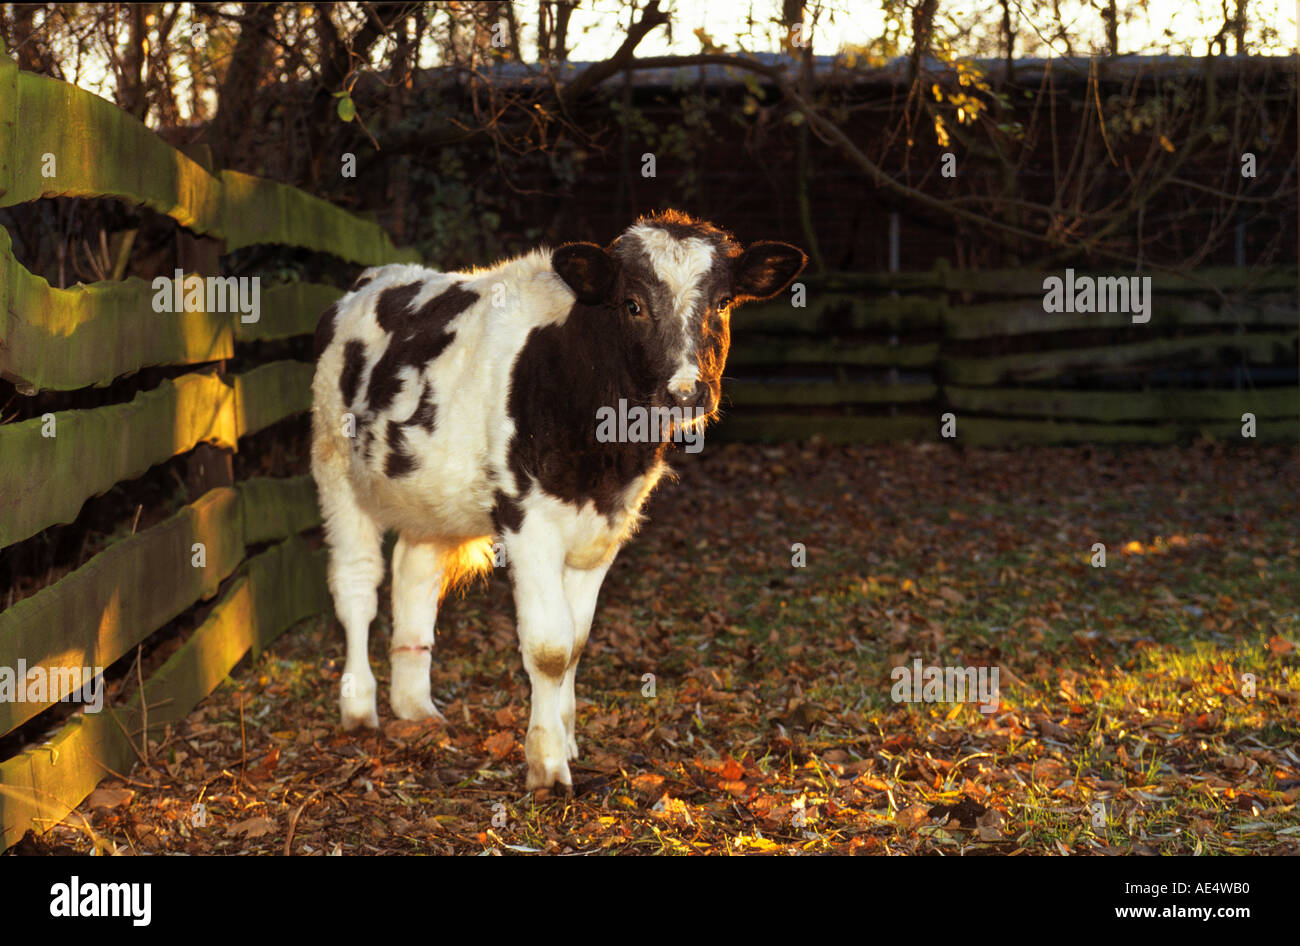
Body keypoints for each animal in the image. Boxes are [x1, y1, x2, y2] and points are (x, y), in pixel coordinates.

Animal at [310, 210, 806, 790]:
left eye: (723, 303)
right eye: (632, 304)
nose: (685, 393)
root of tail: (378, 278)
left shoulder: (604, 528)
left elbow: (576, 642)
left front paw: (567, 740)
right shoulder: (528, 521)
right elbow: (549, 647)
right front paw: (546, 763)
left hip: (428, 494)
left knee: (413, 574)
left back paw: (414, 707)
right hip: (335, 468)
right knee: (357, 587)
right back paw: (359, 707)